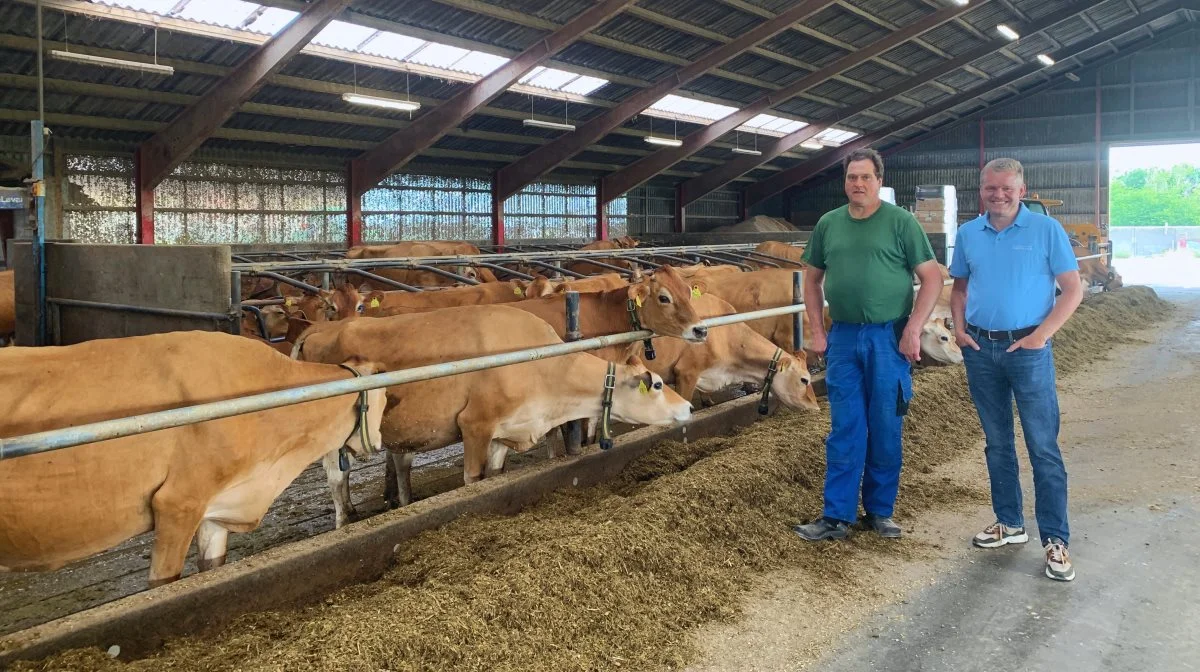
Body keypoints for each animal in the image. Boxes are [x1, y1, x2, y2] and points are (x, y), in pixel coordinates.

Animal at [0, 333, 384, 585]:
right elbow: (164, 582)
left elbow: (213, 566)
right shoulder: (177, 503)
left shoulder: (217, 507)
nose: (378, 443)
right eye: (383, 399)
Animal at [291, 304, 700, 525]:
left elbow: (497, 473)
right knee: (336, 479)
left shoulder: (508, 430)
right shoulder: (475, 425)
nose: (689, 407)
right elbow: (474, 479)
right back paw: (345, 519)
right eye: (657, 385)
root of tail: (320, 328)